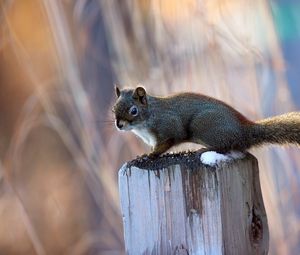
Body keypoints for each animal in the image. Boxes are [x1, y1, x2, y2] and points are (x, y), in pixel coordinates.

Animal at [113, 86, 300, 158]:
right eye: (114, 108)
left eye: (133, 111)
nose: (119, 125)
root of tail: (243, 130)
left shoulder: (168, 126)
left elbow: (168, 141)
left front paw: (151, 155)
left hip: (204, 126)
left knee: (225, 146)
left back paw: (205, 149)